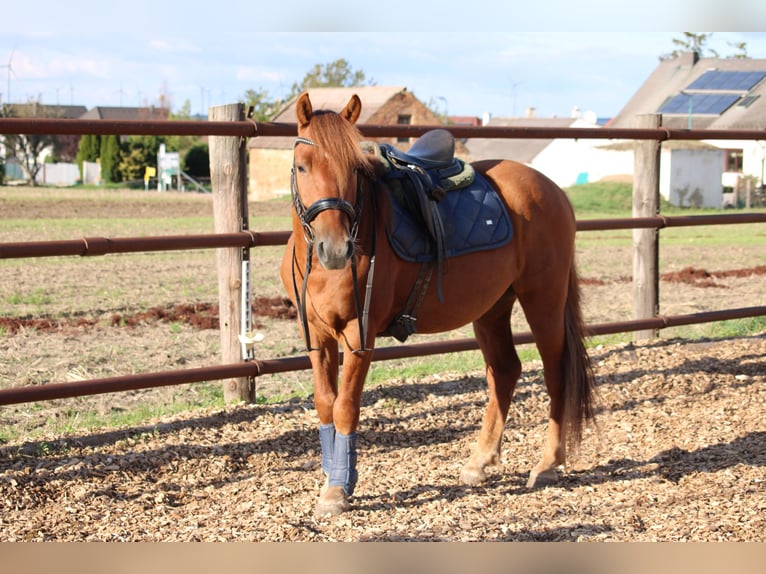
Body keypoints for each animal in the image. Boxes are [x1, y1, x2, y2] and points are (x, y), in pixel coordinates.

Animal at [282, 93, 600, 516]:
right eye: (302, 166)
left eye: (354, 168)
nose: (335, 249)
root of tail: (554, 191)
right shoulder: (316, 335)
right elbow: (324, 404)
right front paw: (333, 476)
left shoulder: (359, 335)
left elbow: (345, 406)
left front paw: (338, 490)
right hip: (492, 309)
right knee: (505, 371)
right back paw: (480, 462)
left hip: (543, 301)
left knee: (555, 373)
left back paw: (548, 465)